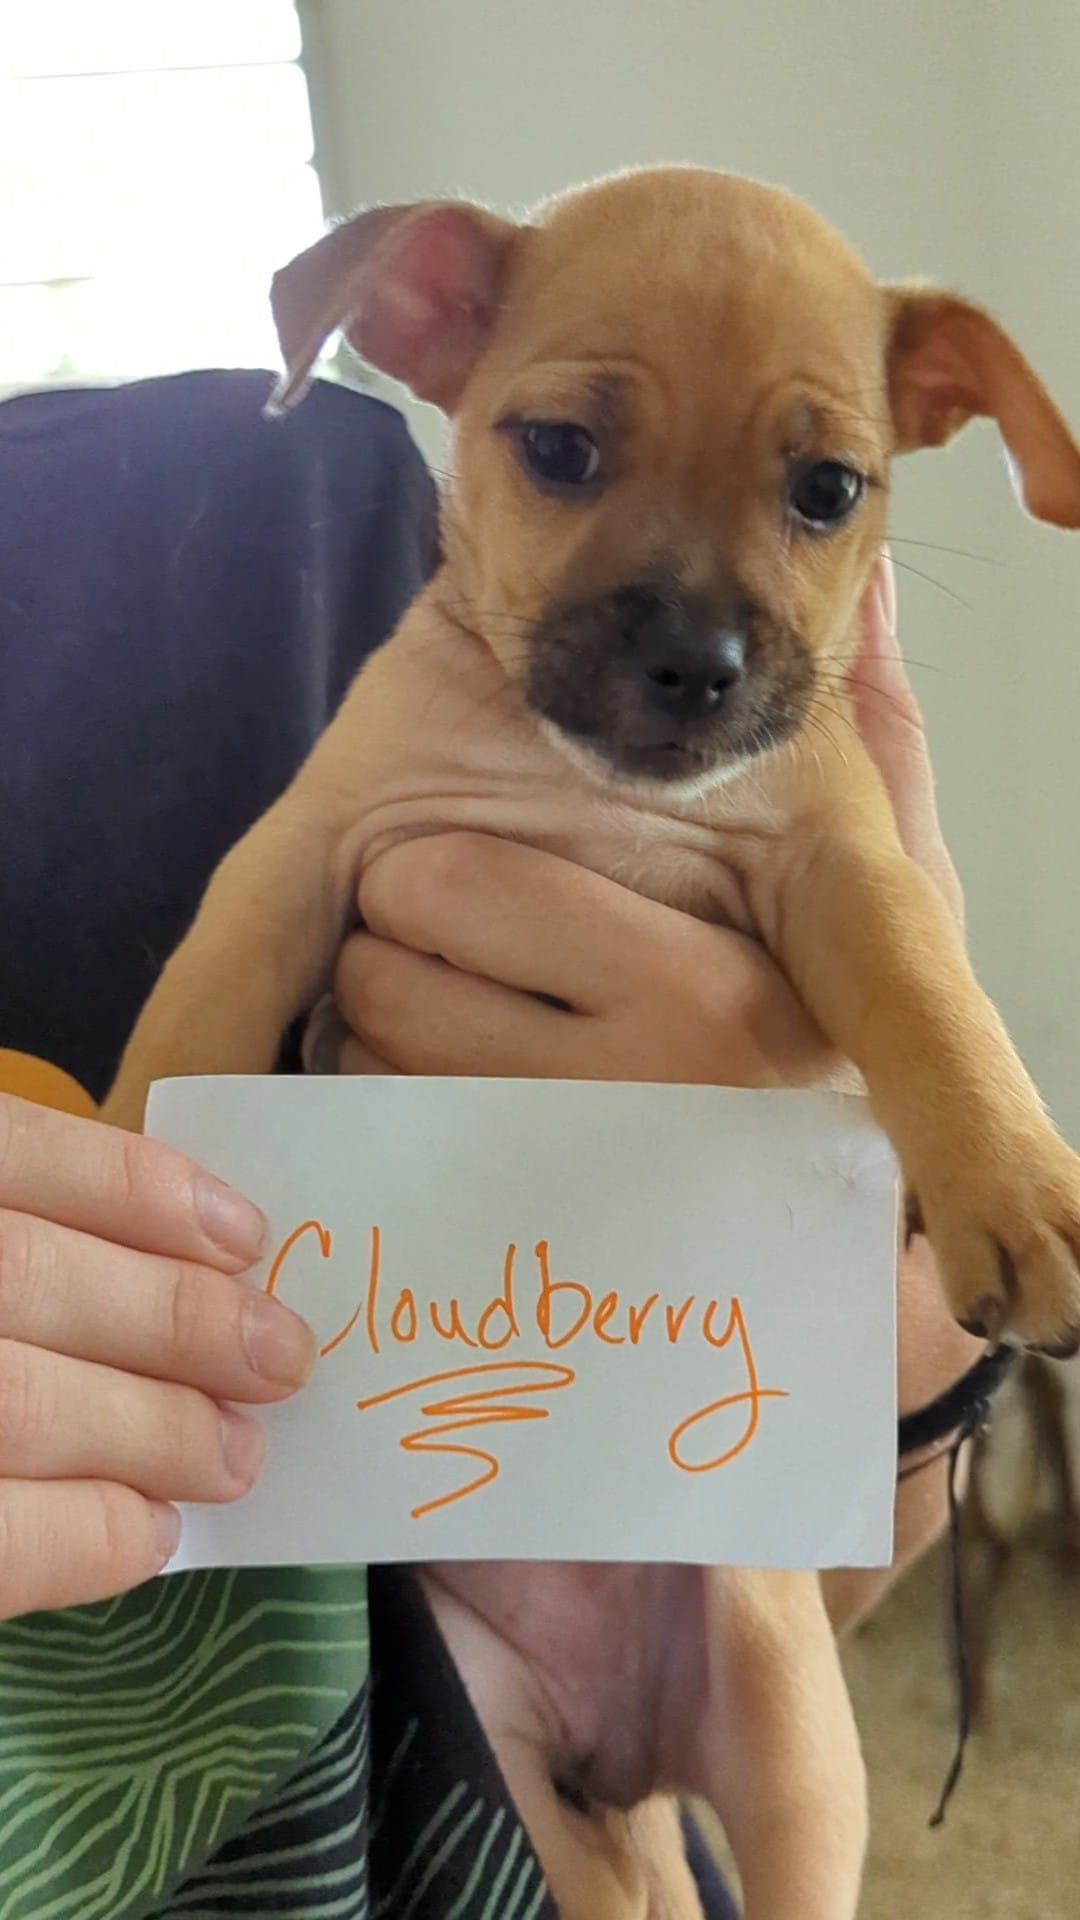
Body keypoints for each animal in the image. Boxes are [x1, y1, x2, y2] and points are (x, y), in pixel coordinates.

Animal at [102, 168, 1076, 1920]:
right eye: (557, 451)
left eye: (828, 490)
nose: (696, 661)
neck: (587, 785)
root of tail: (631, 1771)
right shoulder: (298, 860)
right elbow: (185, 1017)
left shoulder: (848, 873)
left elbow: (930, 995)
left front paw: (1014, 1180)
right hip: (552, 1809)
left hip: (797, 1765)